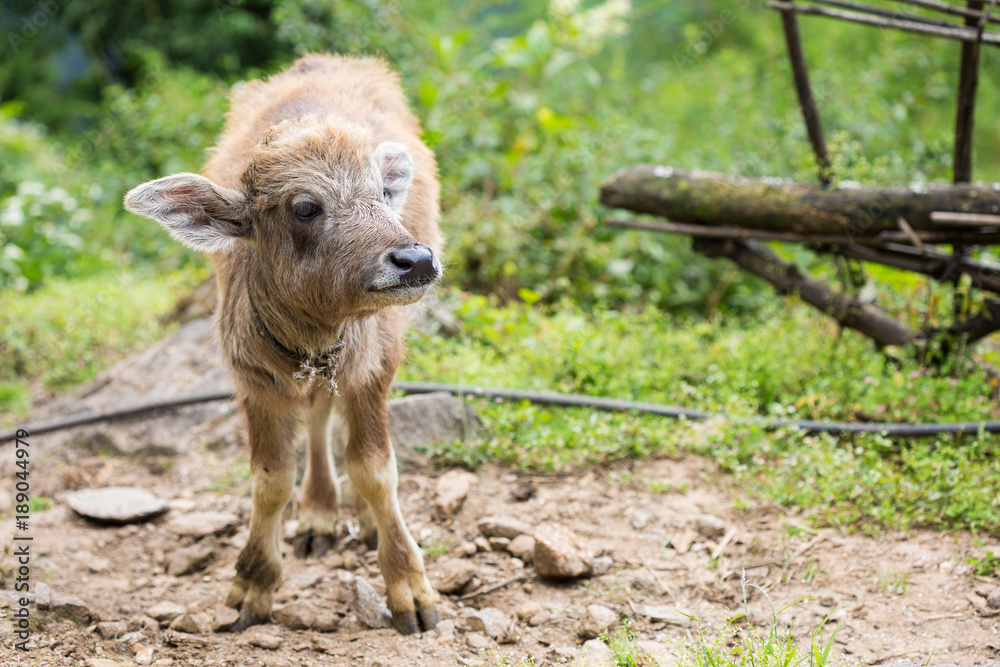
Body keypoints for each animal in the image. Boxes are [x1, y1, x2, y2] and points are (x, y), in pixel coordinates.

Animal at [124, 54, 442, 635]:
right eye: (305, 207)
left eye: (382, 193)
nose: (416, 260)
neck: (315, 334)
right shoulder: (253, 384)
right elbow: (271, 480)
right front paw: (252, 584)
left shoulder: (373, 371)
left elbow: (375, 470)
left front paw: (409, 588)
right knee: (317, 416)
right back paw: (318, 513)